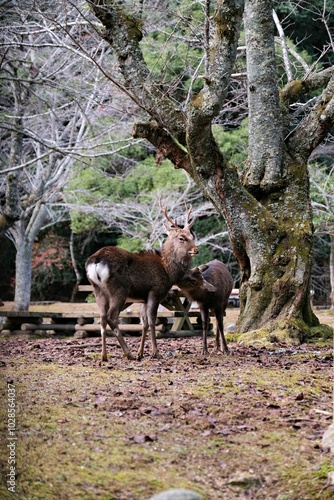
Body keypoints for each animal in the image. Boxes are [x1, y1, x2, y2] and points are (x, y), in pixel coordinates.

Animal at [85, 201, 198, 362]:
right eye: (181, 238)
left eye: (192, 236)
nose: (196, 250)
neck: (168, 272)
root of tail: (96, 261)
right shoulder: (155, 292)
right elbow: (151, 321)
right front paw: (155, 352)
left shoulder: (143, 298)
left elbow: (143, 323)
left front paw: (141, 353)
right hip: (119, 289)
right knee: (112, 317)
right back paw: (128, 353)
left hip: (97, 289)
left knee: (102, 318)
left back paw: (104, 356)